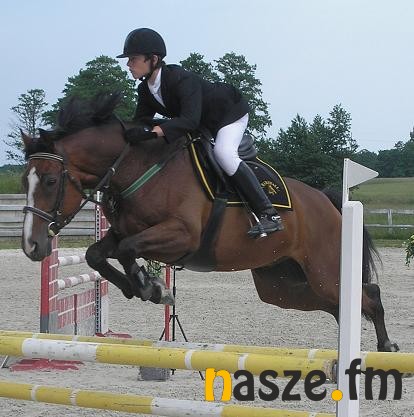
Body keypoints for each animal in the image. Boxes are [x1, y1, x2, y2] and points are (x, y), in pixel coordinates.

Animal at [20, 93, 398, 352]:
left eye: (51, 181)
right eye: (26, 180)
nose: (32, 246)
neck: (139, 167)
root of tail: (327, 202)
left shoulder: (181, 236)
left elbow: (127, 250)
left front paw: (152, 287)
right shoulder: (126, 230)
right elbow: (97, 254)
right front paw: (140, 287)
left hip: (322, 272)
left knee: (367, 295)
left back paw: (387, 347)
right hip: (283, 285)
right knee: (341, 303)